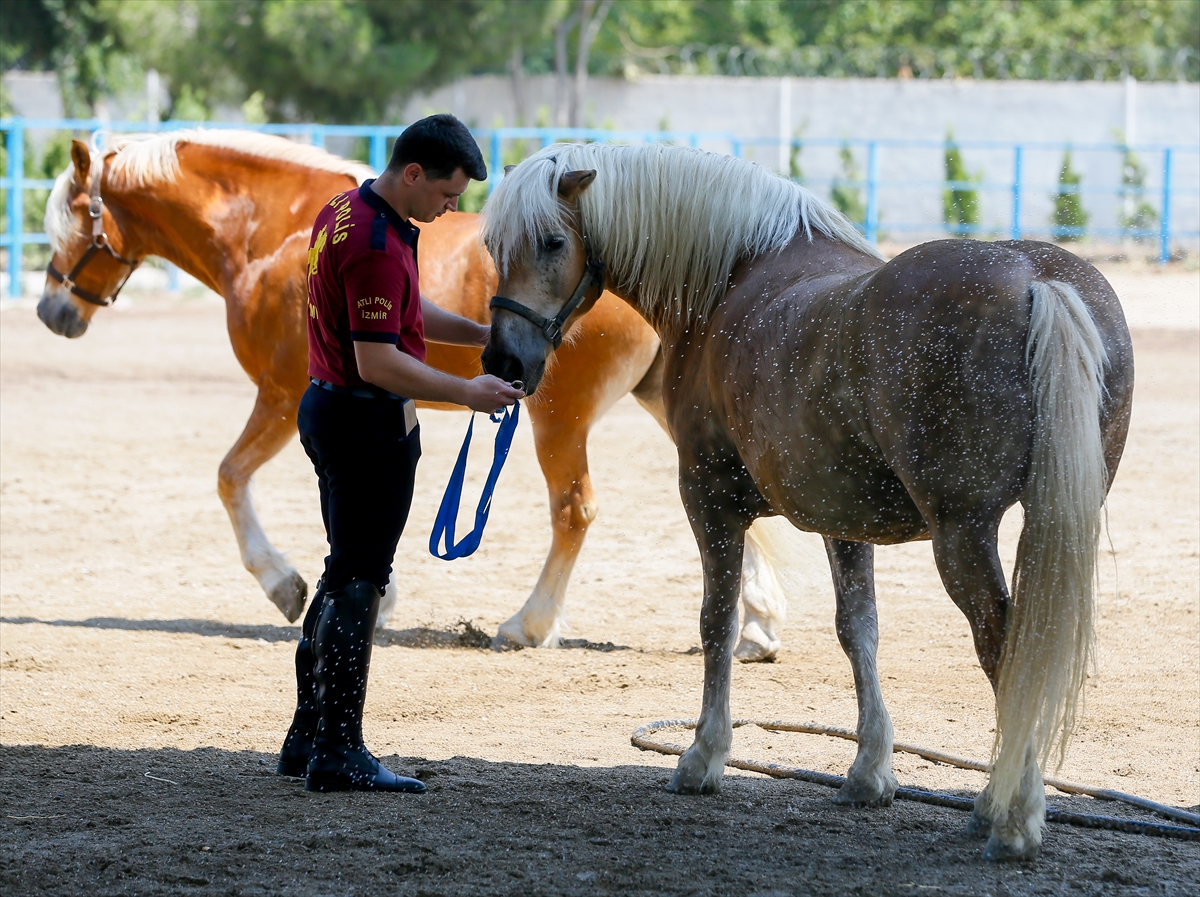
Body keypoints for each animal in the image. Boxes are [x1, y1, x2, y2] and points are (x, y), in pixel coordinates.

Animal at [37, 125, 796, 657]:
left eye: (74, 218)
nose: (52, 312)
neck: (274, 230)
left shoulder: (282, 397)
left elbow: (230, 477)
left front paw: (286, 585)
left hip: (558, 416)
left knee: (574, 511)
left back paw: (528, 625)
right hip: (669, 405)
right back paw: (756, 630)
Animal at [477, 142, 1132, 863]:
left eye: (552, 241)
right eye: (492, 246)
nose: (504, 360)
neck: (732, 273)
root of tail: (1037, 280)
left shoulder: (707, 498)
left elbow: (718, 622)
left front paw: (703, 757)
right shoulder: (844, 521)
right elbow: (859, 631)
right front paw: (869, 772)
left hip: (962, 532)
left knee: (1009, 647)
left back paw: (1012, 817)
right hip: (1045, 517)